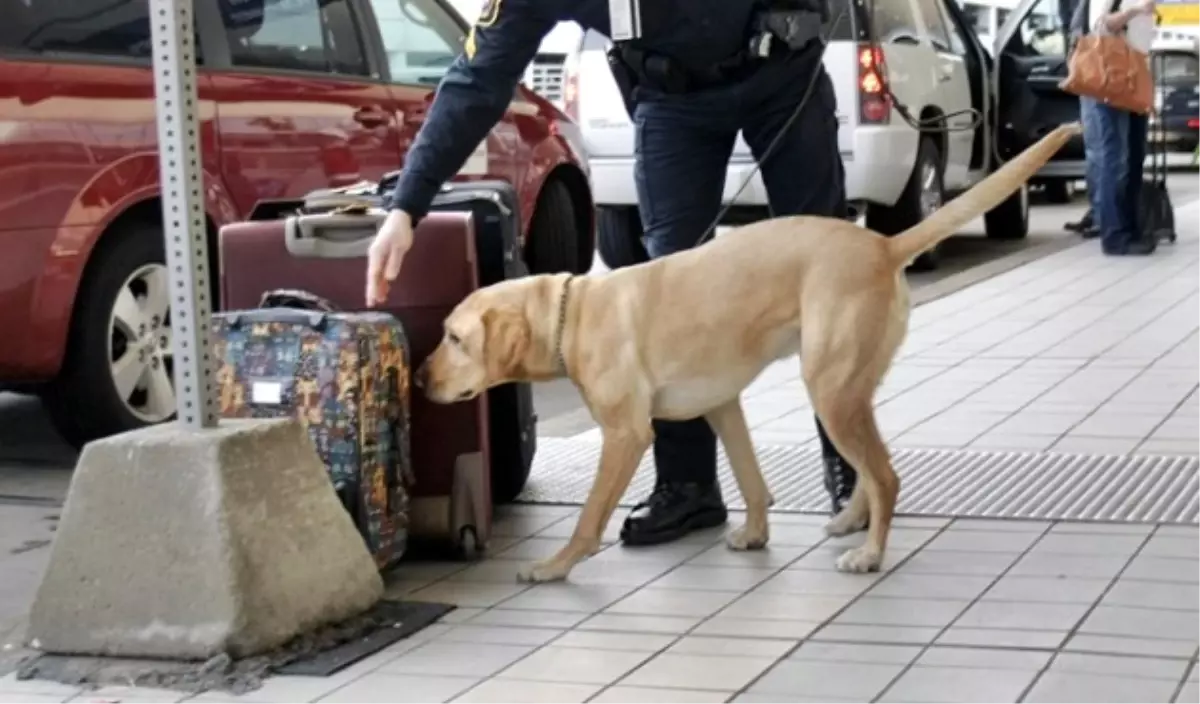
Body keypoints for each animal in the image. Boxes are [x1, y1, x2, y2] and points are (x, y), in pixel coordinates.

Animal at [412, 125, 1080, 582]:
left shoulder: (626, 434)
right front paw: (756, 533)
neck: (570, 314)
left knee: (886, 474)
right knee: (872, 466)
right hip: (849, 391)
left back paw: (869, 554)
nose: (419, 381)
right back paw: (851, 519)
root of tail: (882, 244)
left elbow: (589, 516)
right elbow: (751, 478)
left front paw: (554, 566)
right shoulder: (723, 405)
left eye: (455, 338)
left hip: (830, 388)